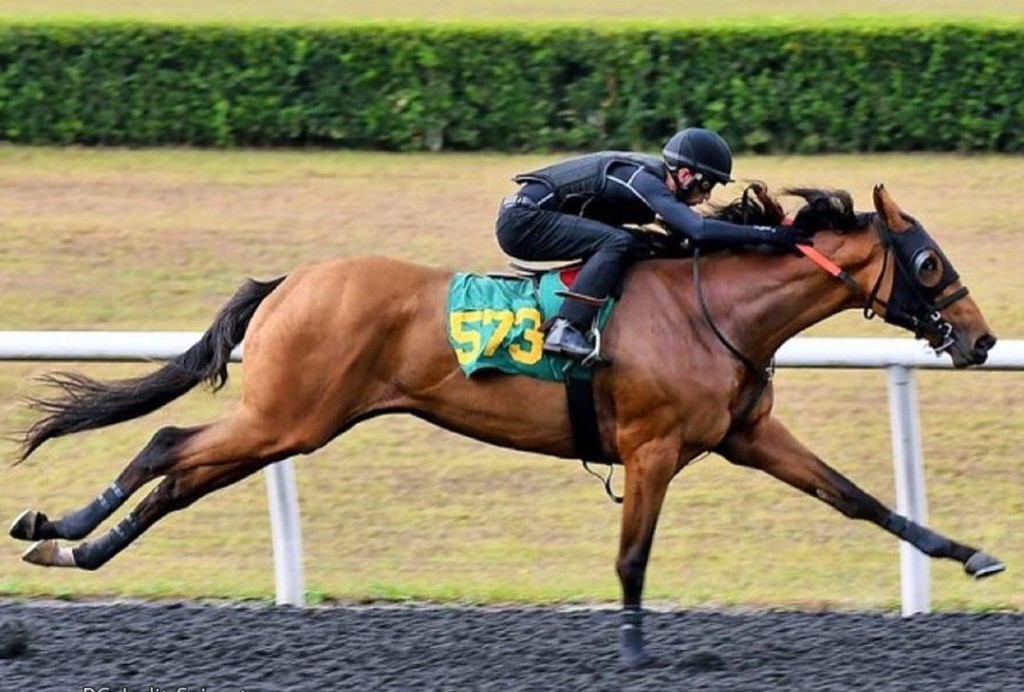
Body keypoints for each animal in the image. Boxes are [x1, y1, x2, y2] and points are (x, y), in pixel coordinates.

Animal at [8, 182, 1003, 663]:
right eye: (928, 260)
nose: (984, 340)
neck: (712, 307)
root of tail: (292, 280)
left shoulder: (743, 437)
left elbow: (861, 500)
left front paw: (968, 555)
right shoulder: (652, 449)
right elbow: (633, 558)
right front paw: (634, 651)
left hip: (291, 424)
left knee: (181, 477)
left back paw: (72, 546)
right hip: (286, 415)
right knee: (167, 447)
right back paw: (57, 526)